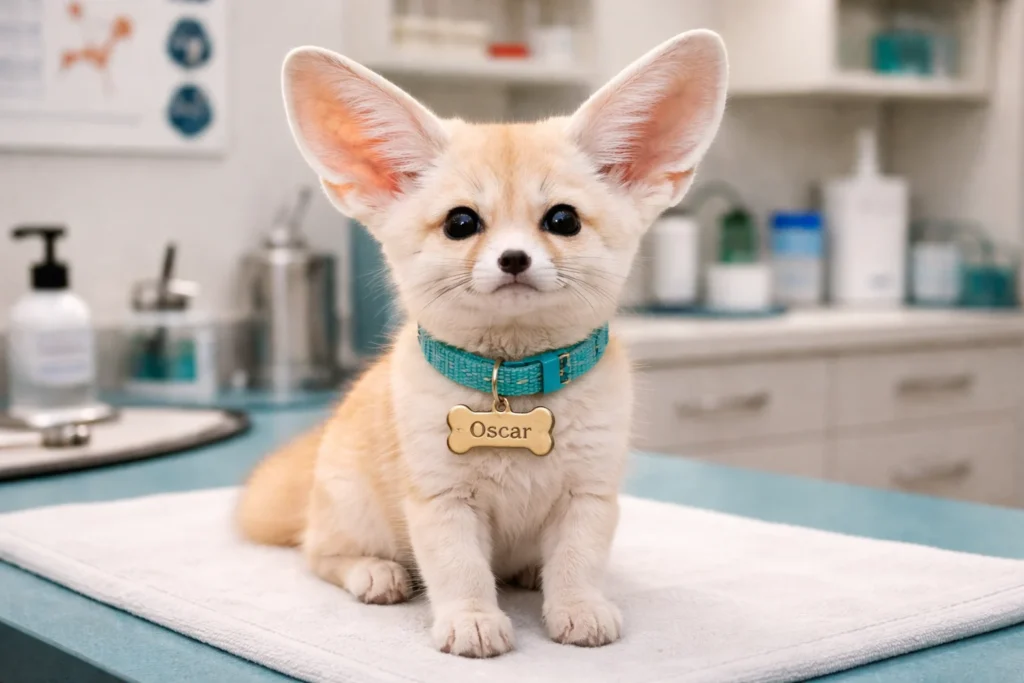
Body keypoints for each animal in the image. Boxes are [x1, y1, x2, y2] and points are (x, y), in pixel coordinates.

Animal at [236, 30, 727, 658]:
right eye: (461, 223)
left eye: (563, 220)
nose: (514, 258)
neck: (510, 380)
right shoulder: (440, 501)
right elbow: (460, 569)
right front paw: (471, 620)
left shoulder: (589, 497)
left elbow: (578, 561)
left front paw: (577, 608)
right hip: (354, 512)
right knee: (318, 553)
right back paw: (374, 572)